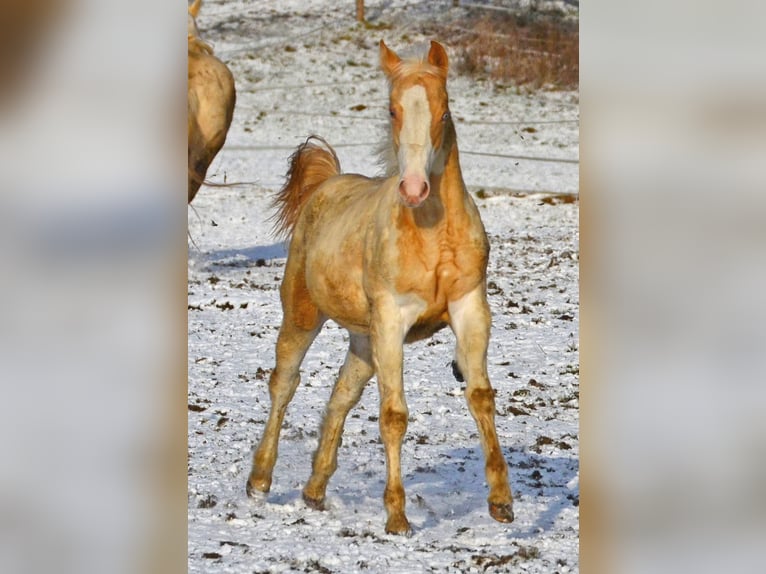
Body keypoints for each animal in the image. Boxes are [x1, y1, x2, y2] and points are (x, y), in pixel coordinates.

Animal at [246, 40, 514, 535]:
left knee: (341, 395)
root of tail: (326, 183)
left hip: (363, 340)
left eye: (444, 110)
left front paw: (502, 502)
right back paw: (259, 480)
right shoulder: (392, 321)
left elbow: (481, 396)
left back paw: (315, 490)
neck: (432, 233)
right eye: (392, 109)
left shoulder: (469, 309)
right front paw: (397, 517)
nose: (414, 187)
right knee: (284, 383)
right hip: (304, 315)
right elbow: (393, 415)